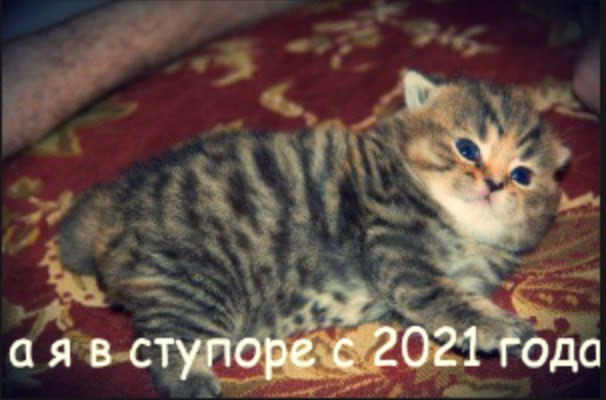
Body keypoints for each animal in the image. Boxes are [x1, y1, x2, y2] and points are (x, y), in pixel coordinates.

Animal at [57, 70, 570, 397]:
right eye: (467, 148)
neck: (462, 227)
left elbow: (444, 306)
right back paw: (192, 382)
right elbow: (447, 301)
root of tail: (116, 203)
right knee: (164, 342)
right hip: (197, 282)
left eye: (522, 176)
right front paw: (504, 328)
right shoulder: (397, 250)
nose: (495, 184)